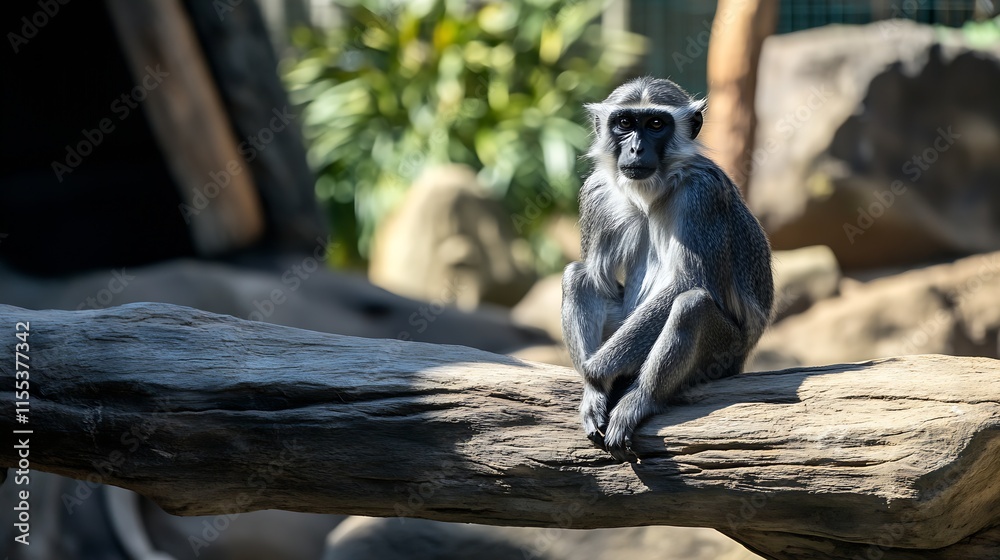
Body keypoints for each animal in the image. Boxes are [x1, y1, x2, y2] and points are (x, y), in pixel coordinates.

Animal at [561, 77, 774, 462]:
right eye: (625, 123)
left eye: (656, 124)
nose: (636, 149)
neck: (653, 191)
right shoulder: (596, 192)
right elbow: (596, 279)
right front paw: (593, 387)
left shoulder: (702, 195)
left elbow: (689, 282)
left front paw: (596, 373)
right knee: (576, 276)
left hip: (726, 354)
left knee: (692, 304)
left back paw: (642, 399)